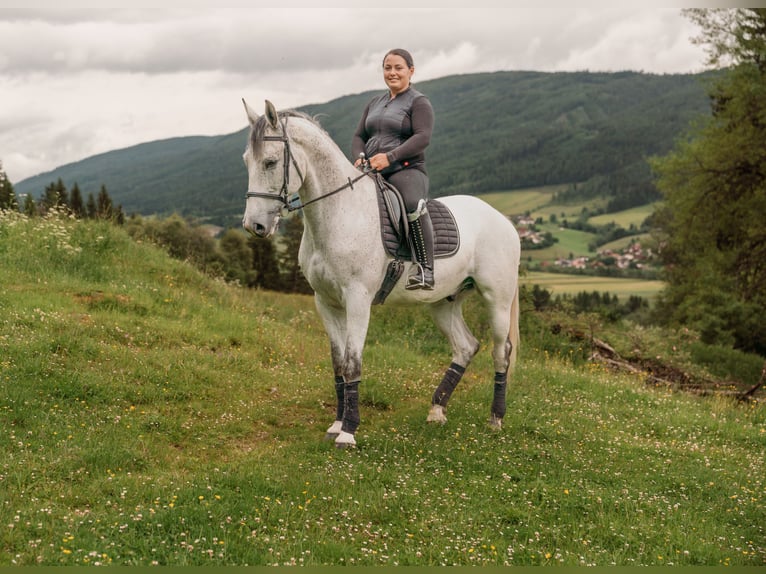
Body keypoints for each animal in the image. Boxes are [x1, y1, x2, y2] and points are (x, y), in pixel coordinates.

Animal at [243, 99, 524, 450]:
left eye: (270, 162)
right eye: (247, 161)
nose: (254, 226)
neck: (340, 212)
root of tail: (503, 220)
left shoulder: (357, 299)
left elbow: (353, 362)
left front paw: (348, 431)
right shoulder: (325, 302)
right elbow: (338, 364)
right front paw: (336, 424)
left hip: (497, 299)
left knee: (501, 352)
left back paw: (496, 418)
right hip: (443, 302)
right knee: (466, 346)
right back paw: (437, 410)